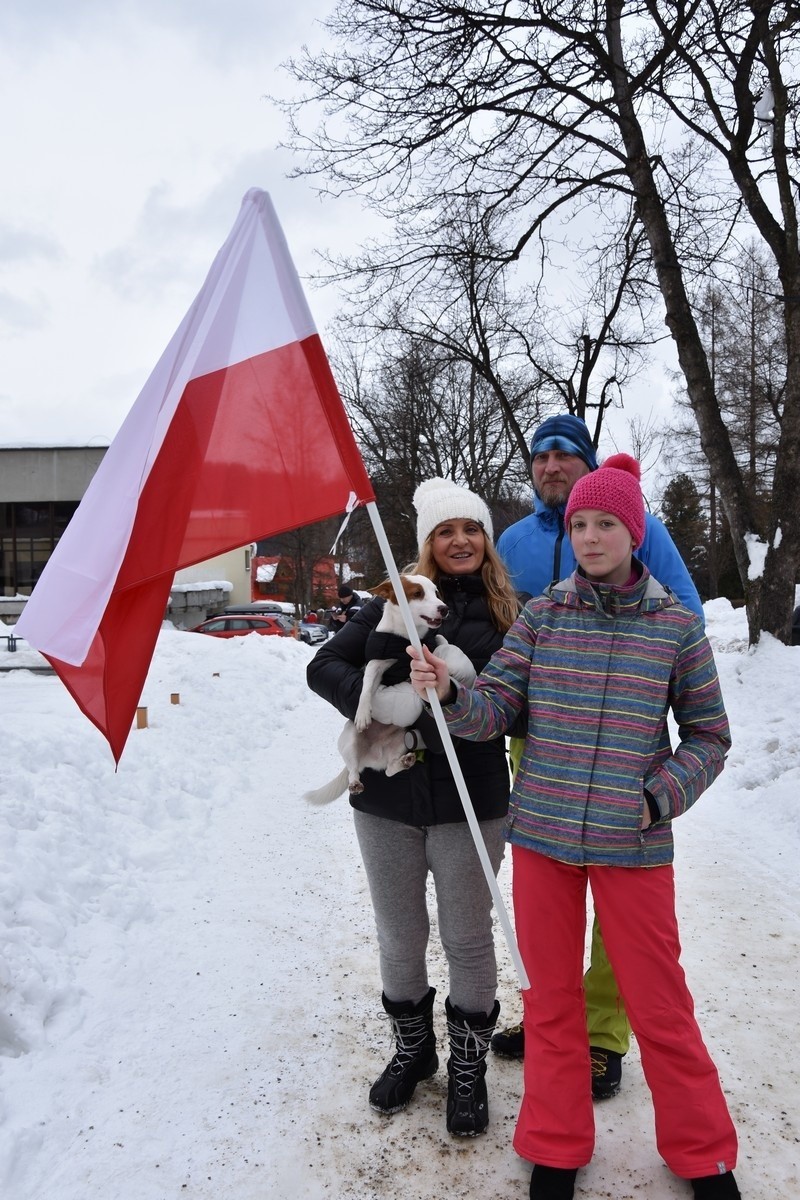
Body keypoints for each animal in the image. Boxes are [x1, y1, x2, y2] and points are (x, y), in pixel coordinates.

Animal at [299, 573, 474, 806]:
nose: (444, 608)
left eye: (436, 592)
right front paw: (363, 713)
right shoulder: (376, 663)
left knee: (390, 769)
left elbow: (444, 644)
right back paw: (355, 782)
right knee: (354, 770)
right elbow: (366, 687)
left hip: (403, 741)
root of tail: (371, 756)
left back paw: (404, 762)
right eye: (417, 593)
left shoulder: (432, 645)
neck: (406, 638)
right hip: (350, 741)